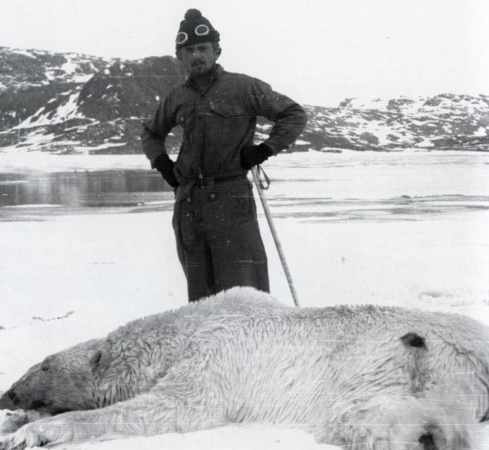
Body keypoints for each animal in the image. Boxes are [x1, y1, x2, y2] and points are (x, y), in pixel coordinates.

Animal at [0, 288, 488, 450]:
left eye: (43, 364)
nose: (8, 393)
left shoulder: (215, 358)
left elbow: (169, 407)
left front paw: (34, 432)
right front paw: (15, 422)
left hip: (406, 364)